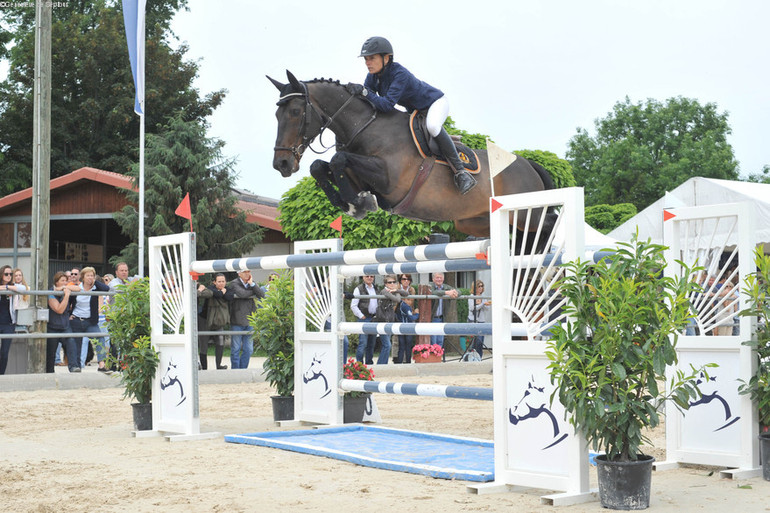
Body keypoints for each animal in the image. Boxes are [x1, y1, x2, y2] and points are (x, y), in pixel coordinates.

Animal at [268, 70, 552, 238]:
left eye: (295, 112)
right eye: (276, 114)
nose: (281, 163)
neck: (366, 127)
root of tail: (529, 165)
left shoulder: (389, 180)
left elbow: (337, 159)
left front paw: (355, 204)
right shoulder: (359, 177)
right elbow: (320, 165)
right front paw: (354, 204)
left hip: (526, 214)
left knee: (547, 225)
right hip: (473, 221)